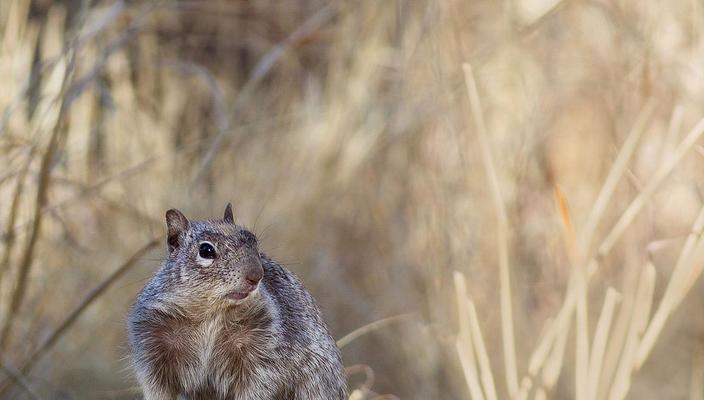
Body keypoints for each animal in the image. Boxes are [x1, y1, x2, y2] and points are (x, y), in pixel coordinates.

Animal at [129, 205, 350, 398]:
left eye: (254, 243)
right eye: (206, 251)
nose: (256, 275)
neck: (211, 313)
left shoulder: (263, 357)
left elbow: (258, 386)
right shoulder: (151, 353)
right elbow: (157, 389)